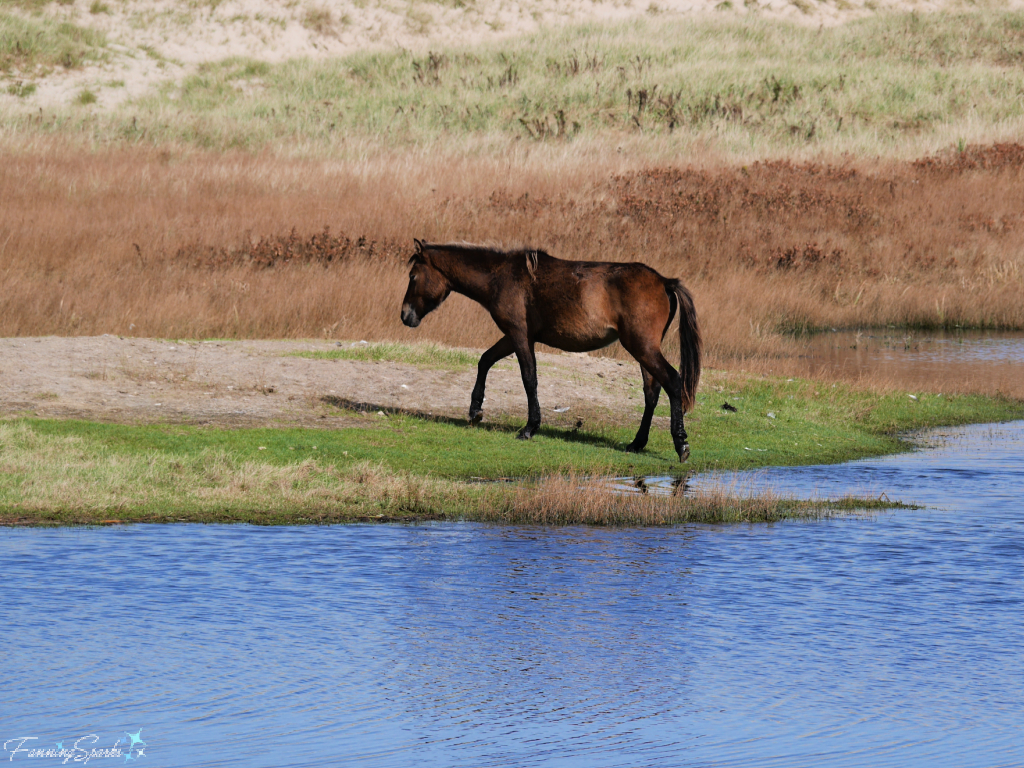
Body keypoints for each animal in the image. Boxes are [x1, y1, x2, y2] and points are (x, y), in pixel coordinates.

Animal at [401, 239, 704, 462]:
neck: (501, 276)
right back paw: (637, 443)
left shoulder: (519, 335)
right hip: (643, 350)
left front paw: (530, 427)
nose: (405, 315)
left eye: (413, 276)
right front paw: (475, 409)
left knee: (672, 381)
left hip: (642, 347)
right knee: (652, 391)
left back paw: (681, 444)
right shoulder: (513, 336)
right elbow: (485, 360)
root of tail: (664, 281)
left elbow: (529, 378)